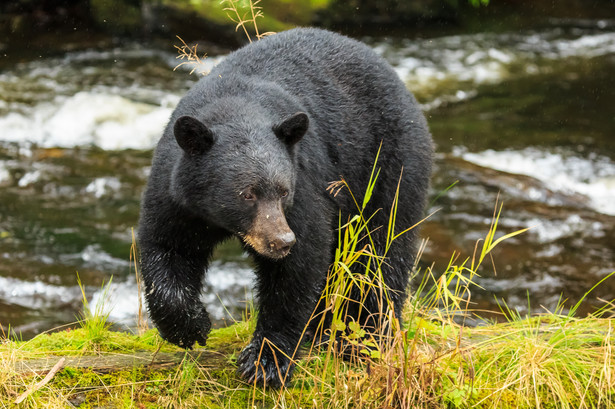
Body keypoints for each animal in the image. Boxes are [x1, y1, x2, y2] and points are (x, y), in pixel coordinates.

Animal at [141, 27, 434, 386]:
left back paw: (367, 337)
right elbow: (168, 248)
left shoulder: (305, 182)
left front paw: (265, 361)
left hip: (388, 163)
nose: (281, 241)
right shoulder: (177, 194)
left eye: (283, 191)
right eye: (247, 194)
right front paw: (191, 327)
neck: (235, 108)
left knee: (382, 250)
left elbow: (299, 265)